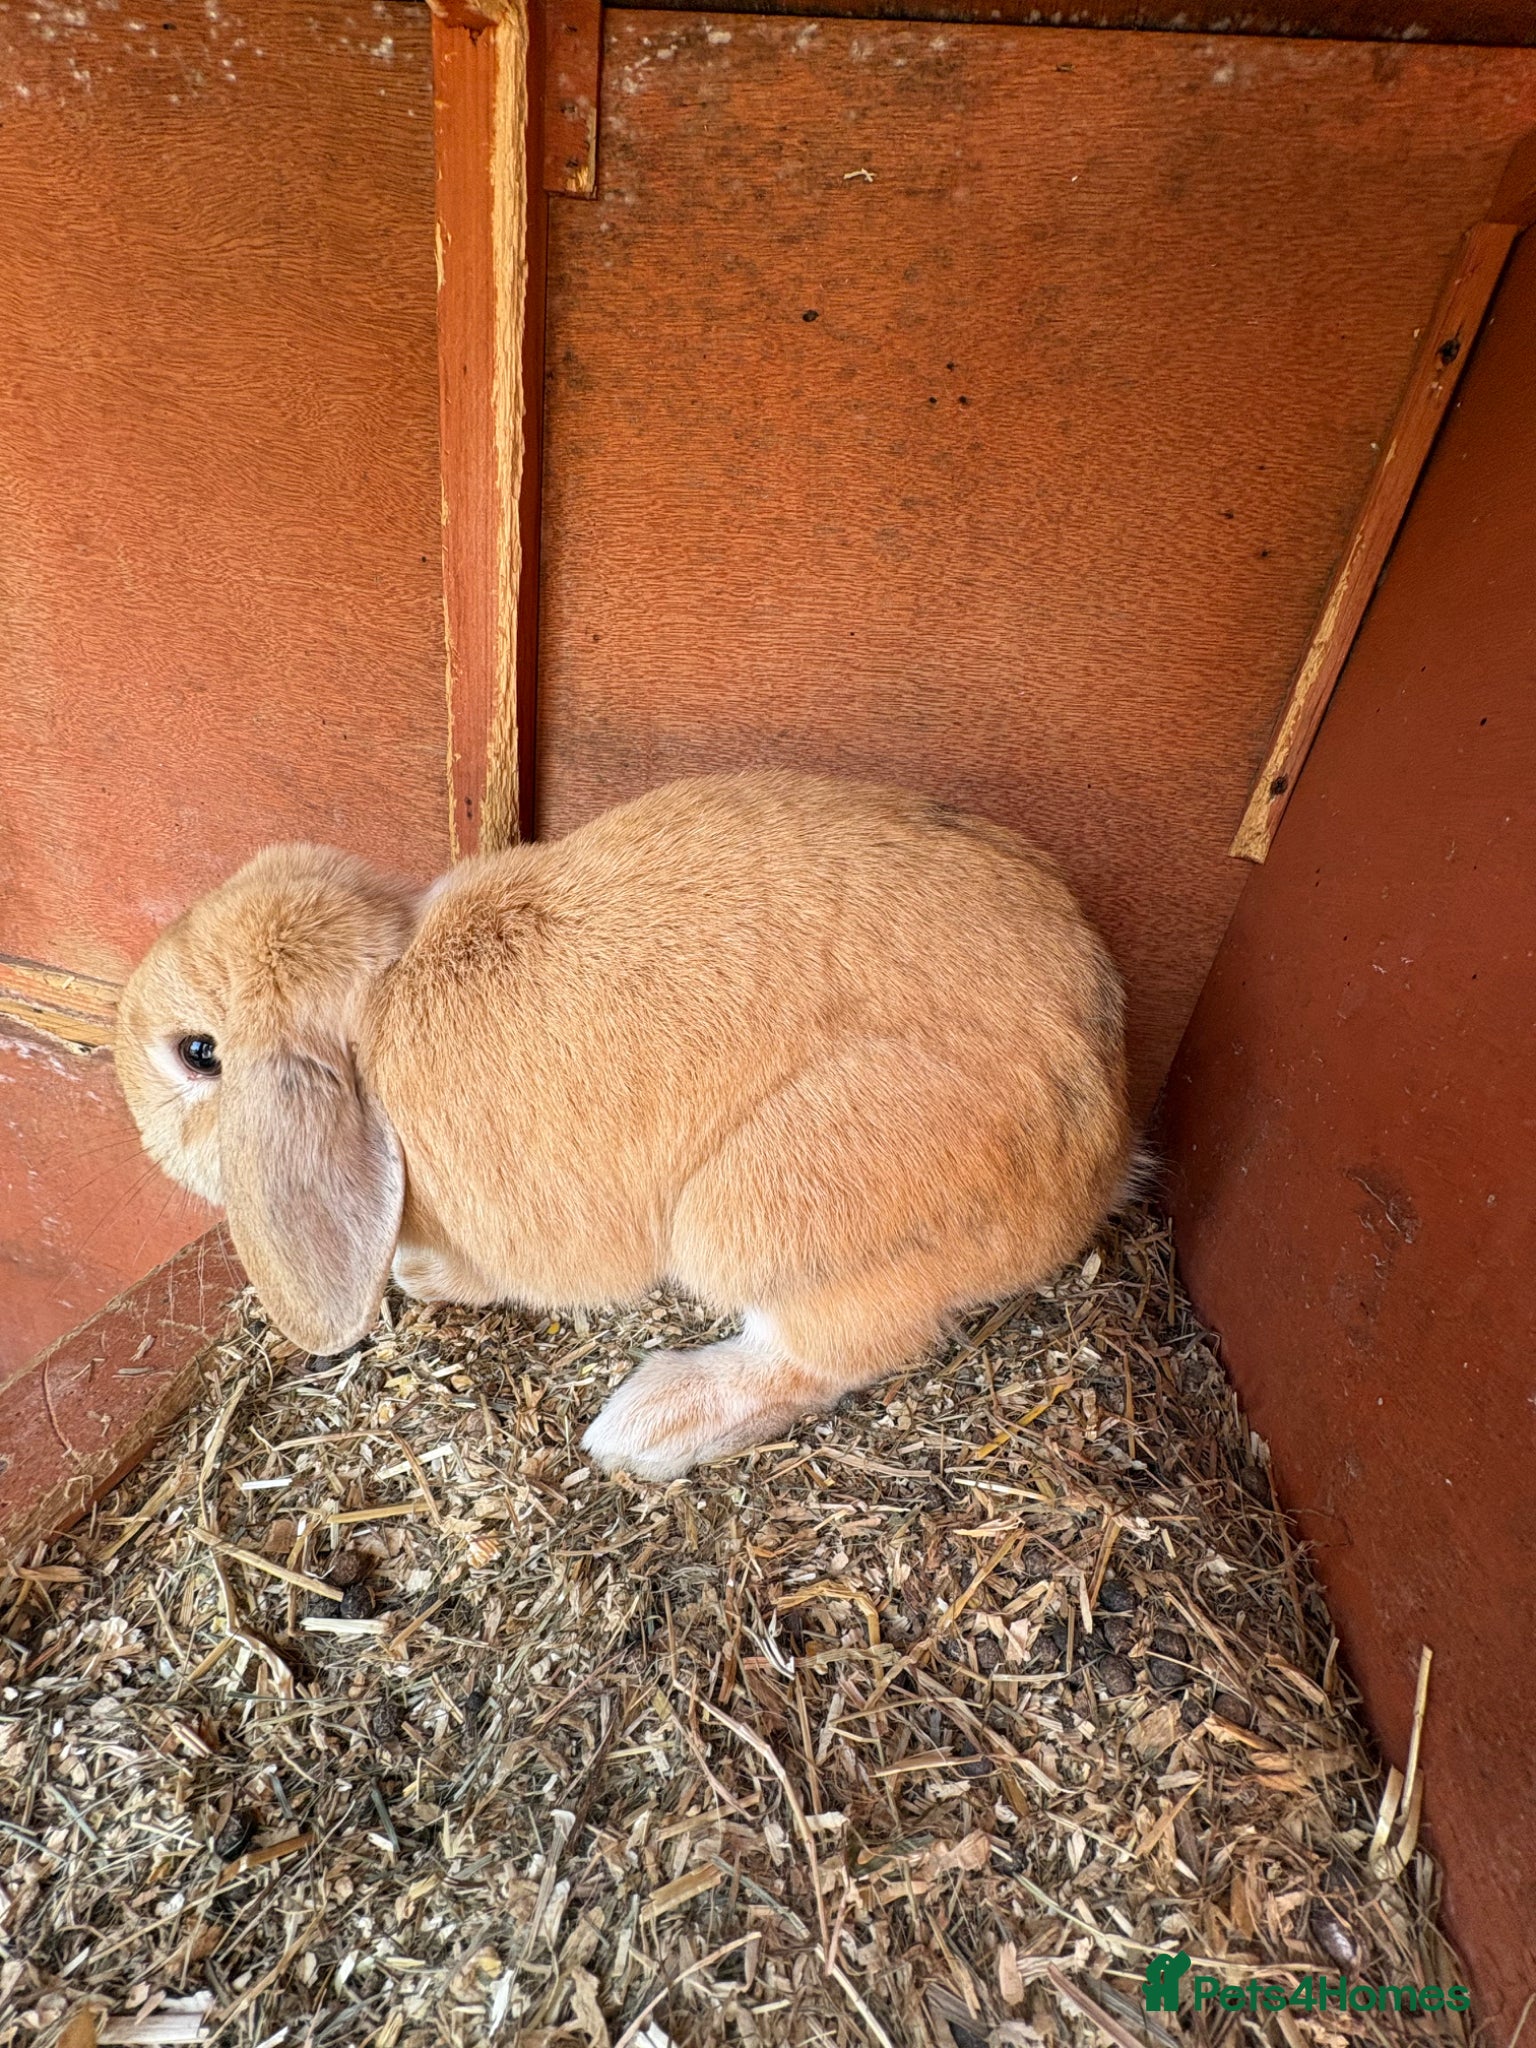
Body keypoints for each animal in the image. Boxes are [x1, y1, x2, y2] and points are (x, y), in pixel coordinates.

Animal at [115, 772, 1136, 1480]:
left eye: (197, 1054)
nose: (134, 1121)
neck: (379, 1006)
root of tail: (1103, 1144)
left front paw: (421, 1276)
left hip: (759, 1214)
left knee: (828, 1356)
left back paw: (647, 1426)